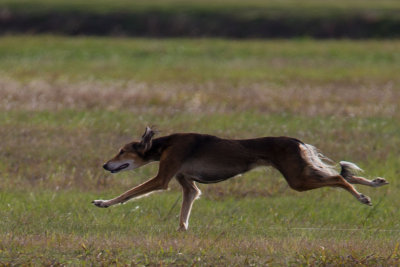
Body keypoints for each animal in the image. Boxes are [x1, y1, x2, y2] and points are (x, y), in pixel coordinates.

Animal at [93, 127, 388, 230]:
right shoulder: (187, 183)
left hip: (297, 179)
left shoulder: (163, 176)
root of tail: (297, 140)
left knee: (340, 179)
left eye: (122, 151)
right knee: (342, 174)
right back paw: (374, 184)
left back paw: (362, 197)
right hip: (302, 172)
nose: (106, 164)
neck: (163, 145)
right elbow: (185, 210)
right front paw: (182, 231)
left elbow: (128, 193)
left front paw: (103, 202)